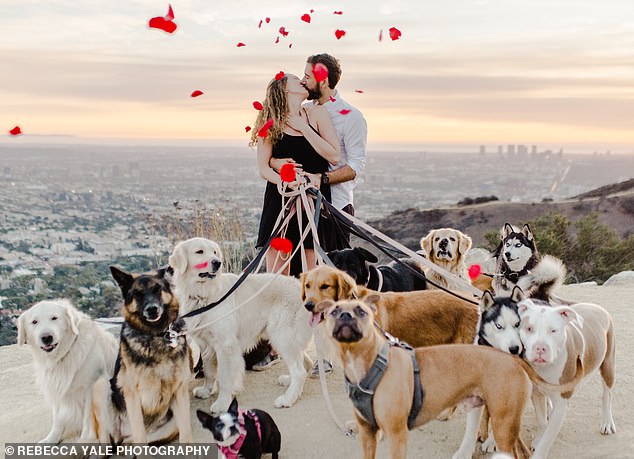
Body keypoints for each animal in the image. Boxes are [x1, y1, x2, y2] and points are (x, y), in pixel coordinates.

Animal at [17, 300, 118, 444]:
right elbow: (57, 418)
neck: (63, 356)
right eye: (34, 322)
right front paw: (51, 439)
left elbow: (88, 418)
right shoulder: (56, 388)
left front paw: (86, 440)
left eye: (54, 318)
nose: (46, 337)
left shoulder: (91, 386)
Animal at [103, 268, 193, 444]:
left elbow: (187, 435)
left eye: (157, 289)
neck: (157, 334)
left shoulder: (180, 391)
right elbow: (140, 437)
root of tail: (125, 436)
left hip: (172, 424)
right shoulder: (132, 395)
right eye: (137, 294)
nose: (152, 309)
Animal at [168, 237, 312, 414]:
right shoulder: (206, 344)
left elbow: (224, 377)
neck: (204, 293)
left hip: (282, 336)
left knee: (299, 371)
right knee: (305, 363)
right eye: (199, 252)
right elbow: (209, 371)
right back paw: (288, 382)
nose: (217, 263)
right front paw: (206, 391)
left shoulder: (226, 345)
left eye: (214, 252)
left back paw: (287, 399)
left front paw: (222, 403)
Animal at [520, 300, 612, 458]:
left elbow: (549, 434)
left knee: (607, 394)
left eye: (553, 330)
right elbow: (542, 422)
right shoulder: (536, 393)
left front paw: (540, 449)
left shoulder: (561, 402)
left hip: (608, 364)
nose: (540, 348)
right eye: (529, 328)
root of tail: (595, 306)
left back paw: (607, 422)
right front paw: (539, 438)